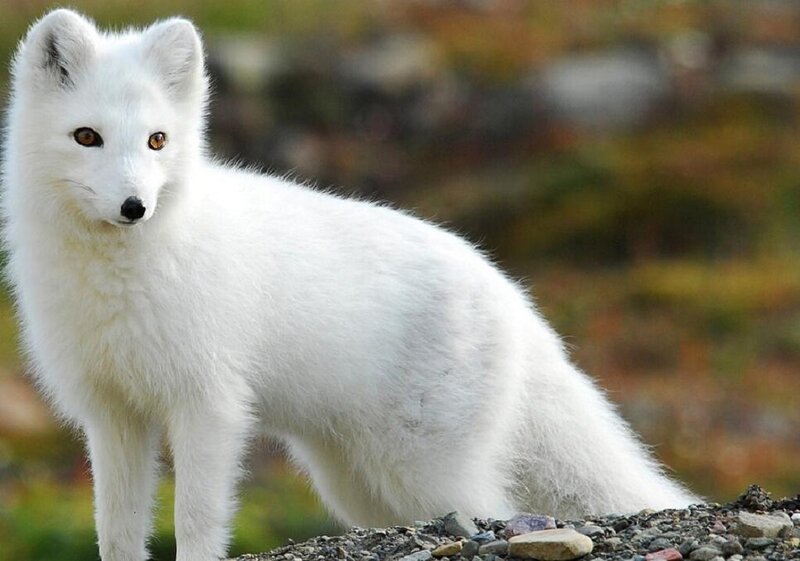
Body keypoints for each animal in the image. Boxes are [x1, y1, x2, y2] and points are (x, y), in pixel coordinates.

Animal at [2, 9, 698, 561]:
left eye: (156, 140)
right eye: (86, 136)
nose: (134, 207)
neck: (115, 279)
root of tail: (511, 294)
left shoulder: (209, 404)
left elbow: (197, 522)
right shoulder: (111, 414)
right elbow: (117, 530)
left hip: (422, 469)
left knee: (496, 513)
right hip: (357, 482)